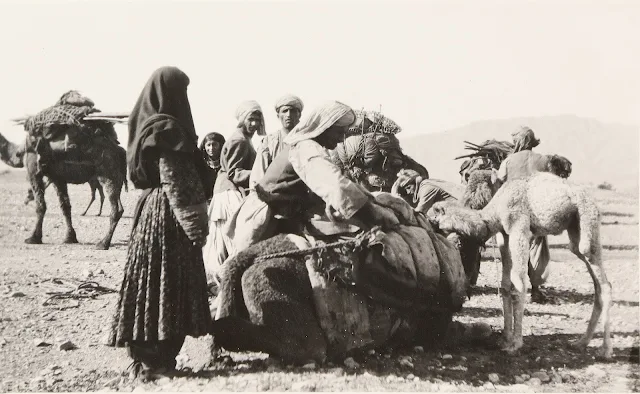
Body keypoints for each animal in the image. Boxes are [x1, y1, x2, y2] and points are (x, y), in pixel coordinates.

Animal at [428, 172, 612, 358]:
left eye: (435, 214)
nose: (429, 221)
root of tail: (592, 201)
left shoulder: (519, 229)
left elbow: (519, 284)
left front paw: (515, 344)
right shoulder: (503, 235)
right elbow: (505, 286)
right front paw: (505, 339)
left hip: (588, 220)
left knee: (603, 281)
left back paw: (605, 350)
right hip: (575, 229)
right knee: (596, 281)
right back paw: (581, 343)